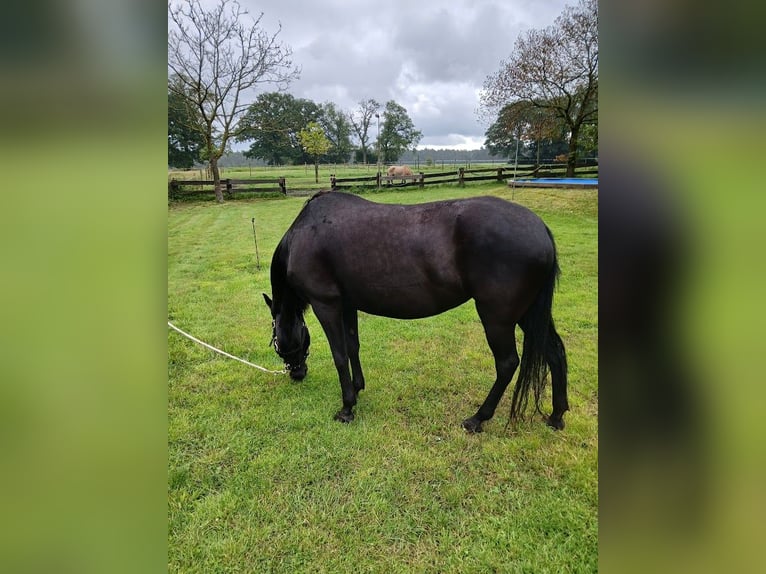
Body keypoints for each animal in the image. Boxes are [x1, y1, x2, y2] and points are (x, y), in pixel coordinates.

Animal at [266, 191, 568, 434]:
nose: (296, 373)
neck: (304, 234)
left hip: (497, 318)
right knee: (555, 352)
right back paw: (556, 416)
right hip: (528, 314)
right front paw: (358, 387)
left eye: (277, 342)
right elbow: (353, 347)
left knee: (507, 364)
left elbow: (339, 355)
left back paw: (477, 419)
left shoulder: (326, 304)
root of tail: (541, 228)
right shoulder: (348, 304)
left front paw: (347, 408)